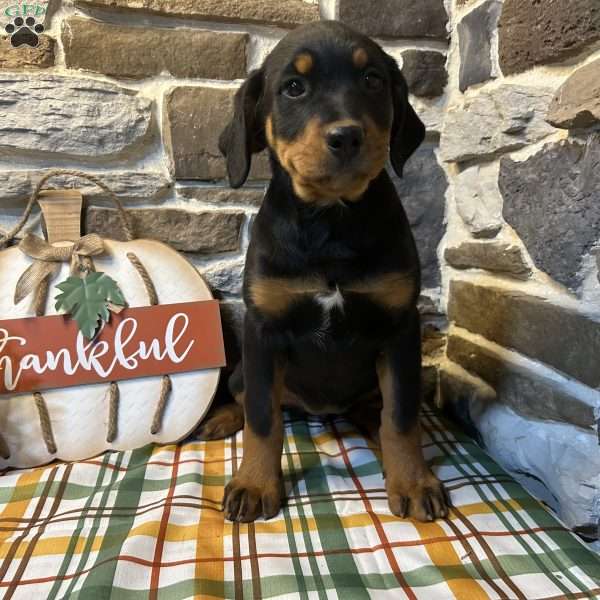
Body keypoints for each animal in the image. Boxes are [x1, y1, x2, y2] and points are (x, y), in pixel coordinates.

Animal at [202, 21, 450, 524]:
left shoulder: (400, 327)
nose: (347, 136)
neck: (331, 220)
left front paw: (414, 482)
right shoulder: (263, 330)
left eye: (373, 80)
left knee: (380, 410)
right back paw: (222, 418)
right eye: (294, 88)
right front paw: (254, 484)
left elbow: (401, 417)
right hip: (245, 368)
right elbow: (263, 418)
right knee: (246, 396)